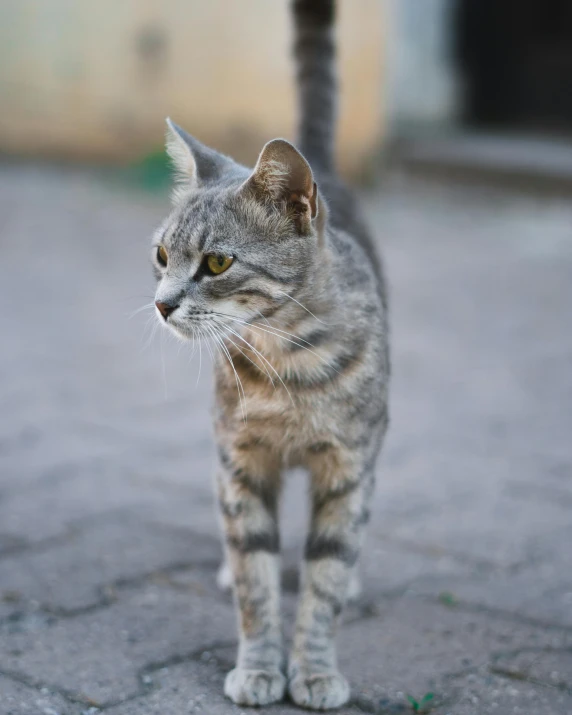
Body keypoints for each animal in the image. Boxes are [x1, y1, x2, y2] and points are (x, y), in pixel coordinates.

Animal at [150, 0, 388, 708]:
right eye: (162, 255)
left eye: (217, 262)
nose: (162, 303)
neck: (290, 369)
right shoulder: (241, 461)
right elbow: (256, 577)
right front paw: (259, 665)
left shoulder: (348, 466)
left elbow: (324, 582)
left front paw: (314, 669)